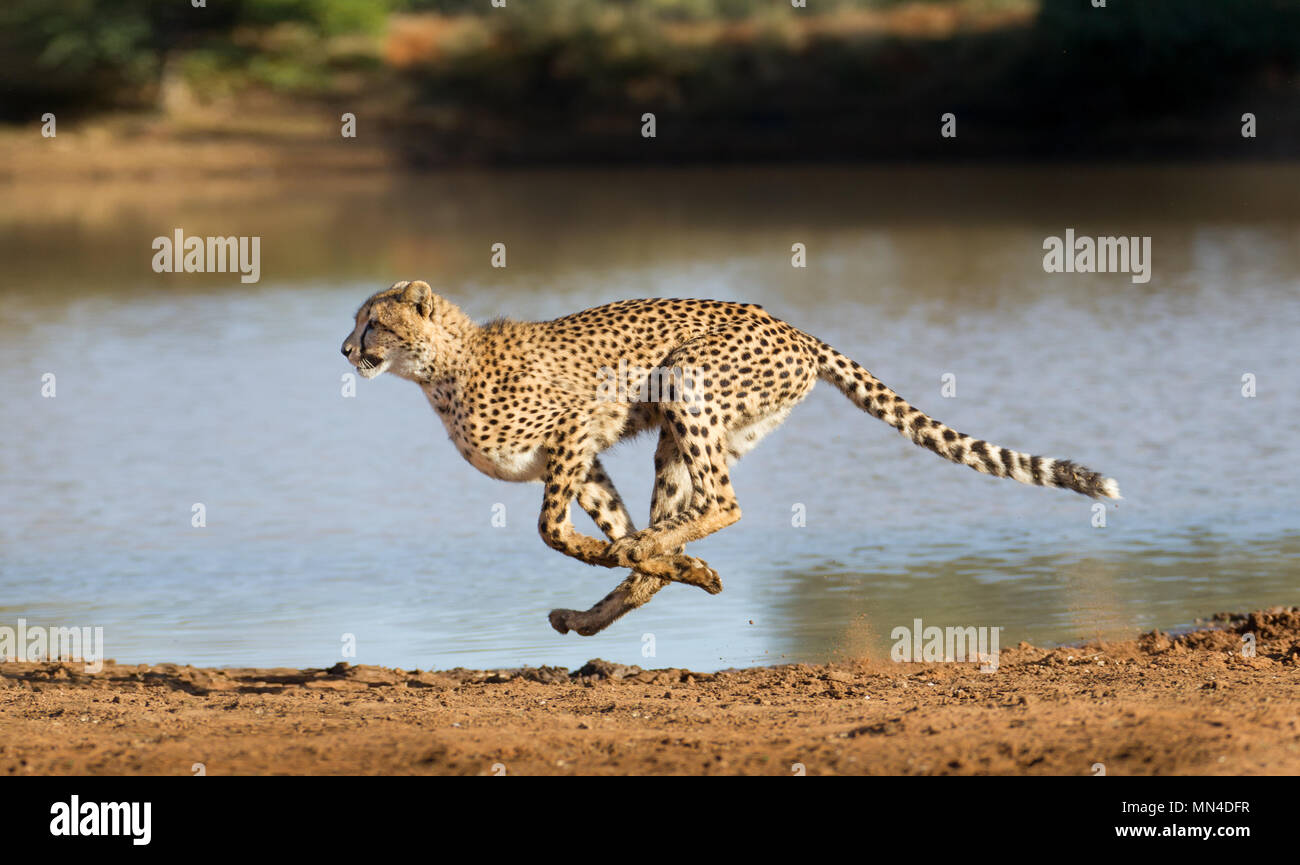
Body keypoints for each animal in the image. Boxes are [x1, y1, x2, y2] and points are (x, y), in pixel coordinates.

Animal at [343, 282, 1118, 634]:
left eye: (374, 321)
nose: (347, 349)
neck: (439, 370)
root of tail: (792, 326)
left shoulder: (578, 424)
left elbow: (552, 529)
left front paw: (623, 553)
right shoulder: (583, 455)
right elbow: (609, 527)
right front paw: (659, 565)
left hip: (685, 379)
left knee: (724, 502)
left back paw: (650, 557)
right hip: (691, 430)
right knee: (690, 512)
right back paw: (629, 591)